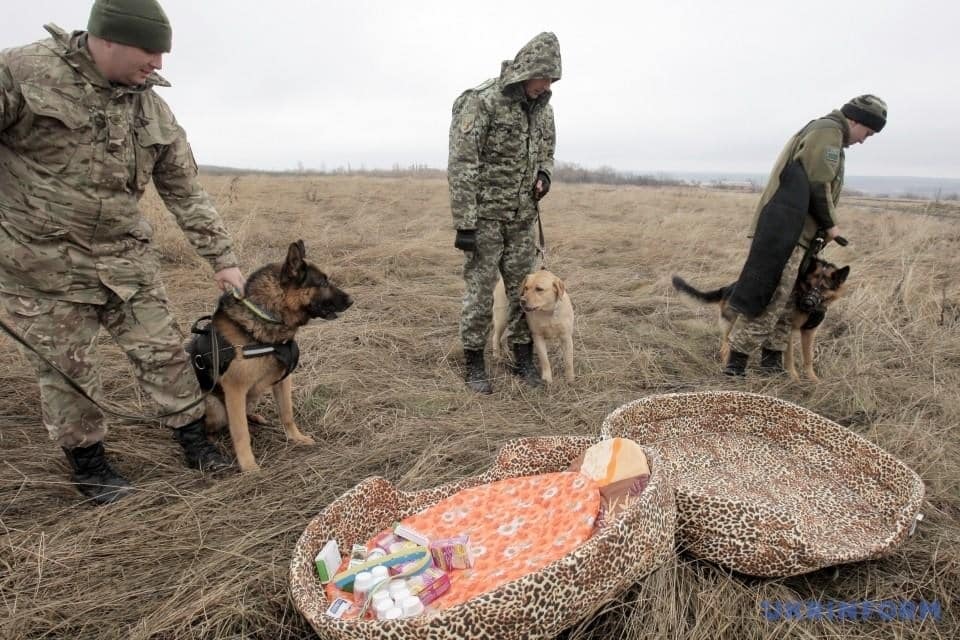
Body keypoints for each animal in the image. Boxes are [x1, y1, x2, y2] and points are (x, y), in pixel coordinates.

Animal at [188, 240, 352, 470]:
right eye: (322, 282)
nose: (352, 300)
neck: (266, 316)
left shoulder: (283, 380)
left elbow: (287, 413)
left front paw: (296, 438)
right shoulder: (235, 389)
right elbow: (240, 433)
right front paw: (249, 467)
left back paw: (255, 417)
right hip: (216, 406)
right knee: (214, 426)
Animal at [672, 258, 852, 380]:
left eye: (823, 288)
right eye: (808, 285)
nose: (807, 303)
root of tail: (727, 288)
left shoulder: (809, 333)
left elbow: (808, 358)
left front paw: (813, 379)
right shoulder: (787, 331)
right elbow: (790, 357)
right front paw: (794, 378)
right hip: (735, 326)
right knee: (725, 347)